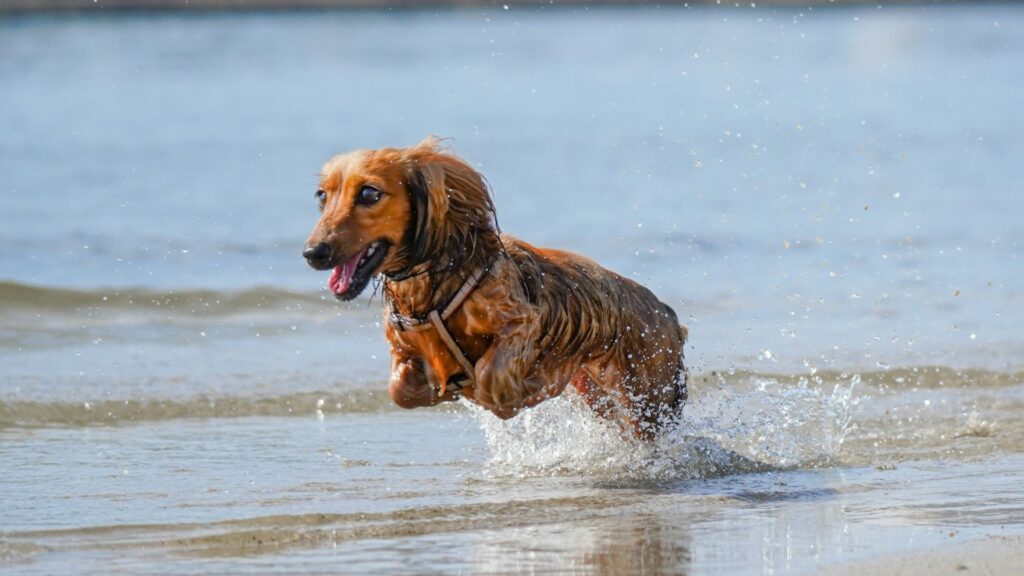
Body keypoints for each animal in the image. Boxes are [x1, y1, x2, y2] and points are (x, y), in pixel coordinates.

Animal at [303, 136, 688, 436]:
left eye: (369, 193)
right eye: (322, 196)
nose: (313, 253)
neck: (431, 288)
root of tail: (667, 313)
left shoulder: (520, 322)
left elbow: (490, 379)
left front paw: (519, 390)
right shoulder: (403, 350)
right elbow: (399, 389)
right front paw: (440, 390)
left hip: (647, 400)